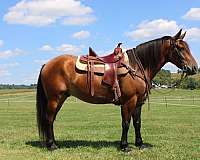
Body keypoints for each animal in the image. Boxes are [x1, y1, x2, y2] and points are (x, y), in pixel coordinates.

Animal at [36, 29, 197, 151]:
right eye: (180, 48)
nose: (194, 68)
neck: (136, 66)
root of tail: (46, 64)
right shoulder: (129, 101)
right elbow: (126, 123)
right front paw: (124, 146)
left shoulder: (138, 102)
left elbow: (137, 123)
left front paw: (140, 144)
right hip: (54, 98)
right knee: (49, 119)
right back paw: (52, 146)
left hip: (61, 98)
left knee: (51, 119)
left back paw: (54, 143)